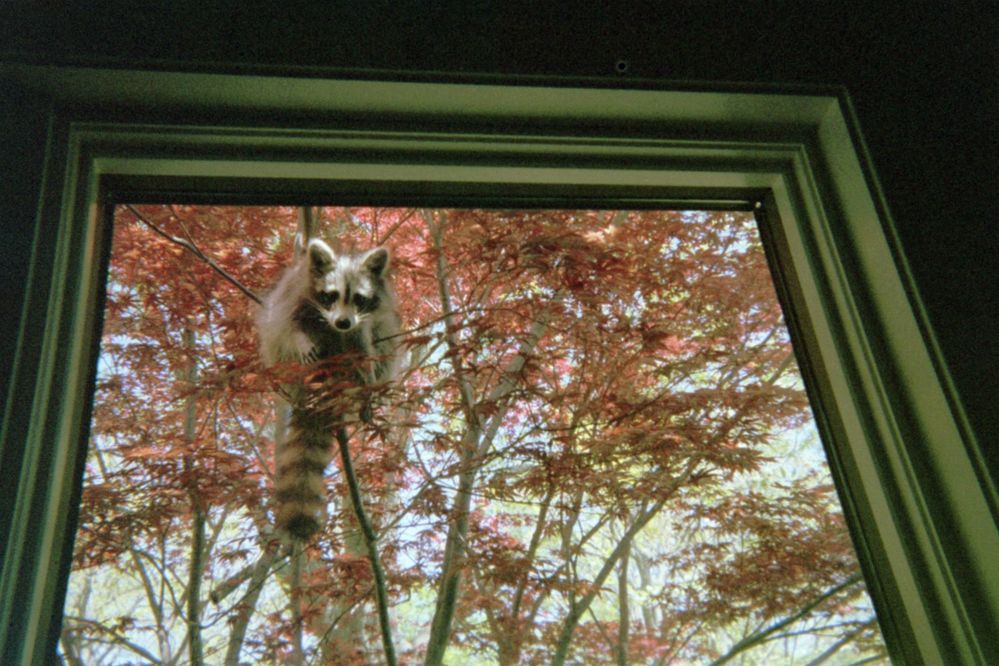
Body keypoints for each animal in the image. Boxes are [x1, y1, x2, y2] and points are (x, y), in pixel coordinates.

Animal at [256, 236, 401, 540]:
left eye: (359, 299)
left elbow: (365, 348)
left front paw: (366, 381)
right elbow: (289, 328)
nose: (343, 322)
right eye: (330, 295)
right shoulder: (293, 298)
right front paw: (302, 341)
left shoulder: (362, 327)